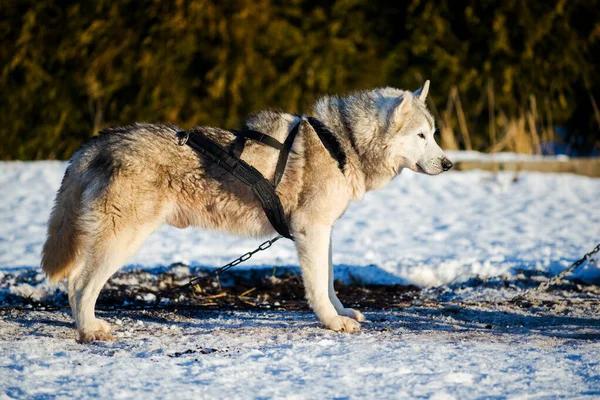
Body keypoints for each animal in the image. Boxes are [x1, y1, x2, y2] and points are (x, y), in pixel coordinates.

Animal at [41, 80, 450, 340]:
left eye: (433, 134)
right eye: (420, 136)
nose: (448, 164)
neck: (341, 142)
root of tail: (99, 141)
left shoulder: (324, 231)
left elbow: (329, 281)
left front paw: (341, 312)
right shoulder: (310, 230)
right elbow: (317, 286)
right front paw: (332, 323)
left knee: (73, 283)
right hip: (123, 240)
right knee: (79, 284)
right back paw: (90, 331)